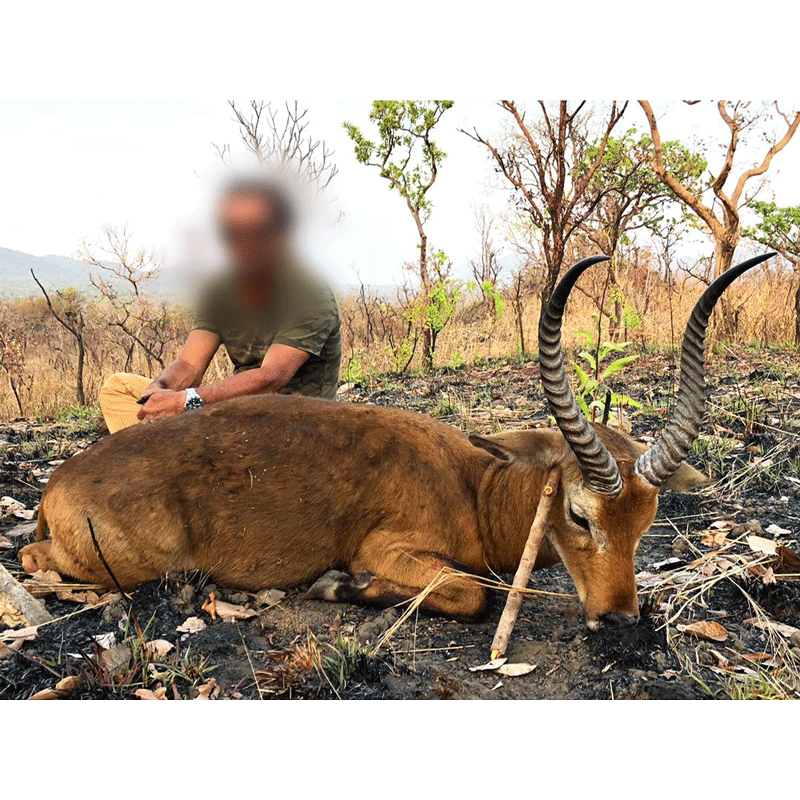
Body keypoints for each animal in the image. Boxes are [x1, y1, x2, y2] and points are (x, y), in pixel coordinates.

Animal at [18, 253, 776, 628]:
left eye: (647, 523)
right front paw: (338, 586)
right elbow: (472, 595)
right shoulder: (391, 548)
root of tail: (59, 483)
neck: (475, 486)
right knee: (31, 558)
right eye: (579, 513)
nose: (619, 618)